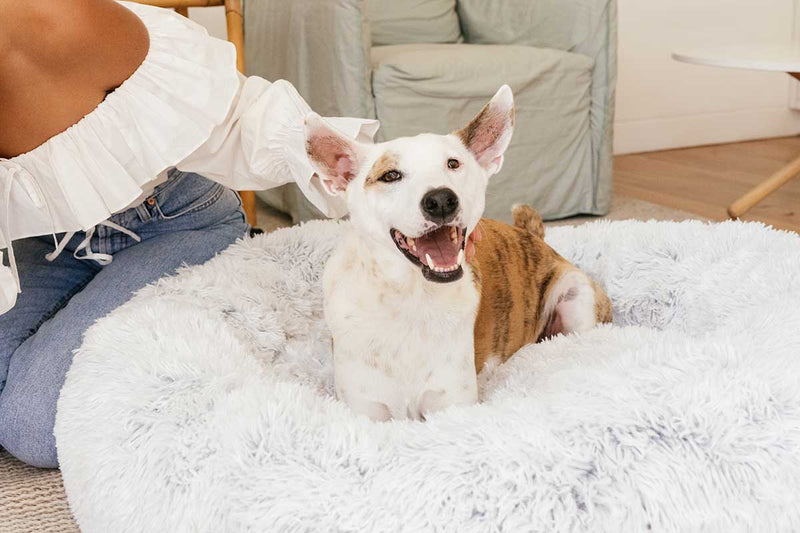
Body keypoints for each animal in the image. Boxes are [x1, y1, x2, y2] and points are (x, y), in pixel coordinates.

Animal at [306, 86, 612, 420]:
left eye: (453, 164)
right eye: (390, 175)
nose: (441, 200)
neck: (410, 298)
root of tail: (534, 236)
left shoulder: (452, 406)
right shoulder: (366, 412)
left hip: (577, 300)